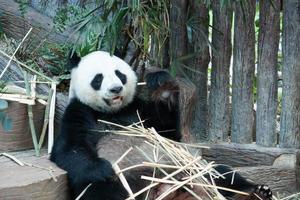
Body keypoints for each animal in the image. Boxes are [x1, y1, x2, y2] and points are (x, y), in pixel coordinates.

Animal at [51, 50, 272, 200]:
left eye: (119, 74)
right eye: (98, 78)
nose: (116, 89)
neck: (112, 112)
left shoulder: (137, 111)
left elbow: (168, 132)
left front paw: (162, 85)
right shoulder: (80, 112)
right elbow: (69, 149)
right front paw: (103, 169)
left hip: (193, 170)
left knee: (223, 175)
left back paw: (257, 193)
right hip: (129, 182)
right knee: (101, 191)